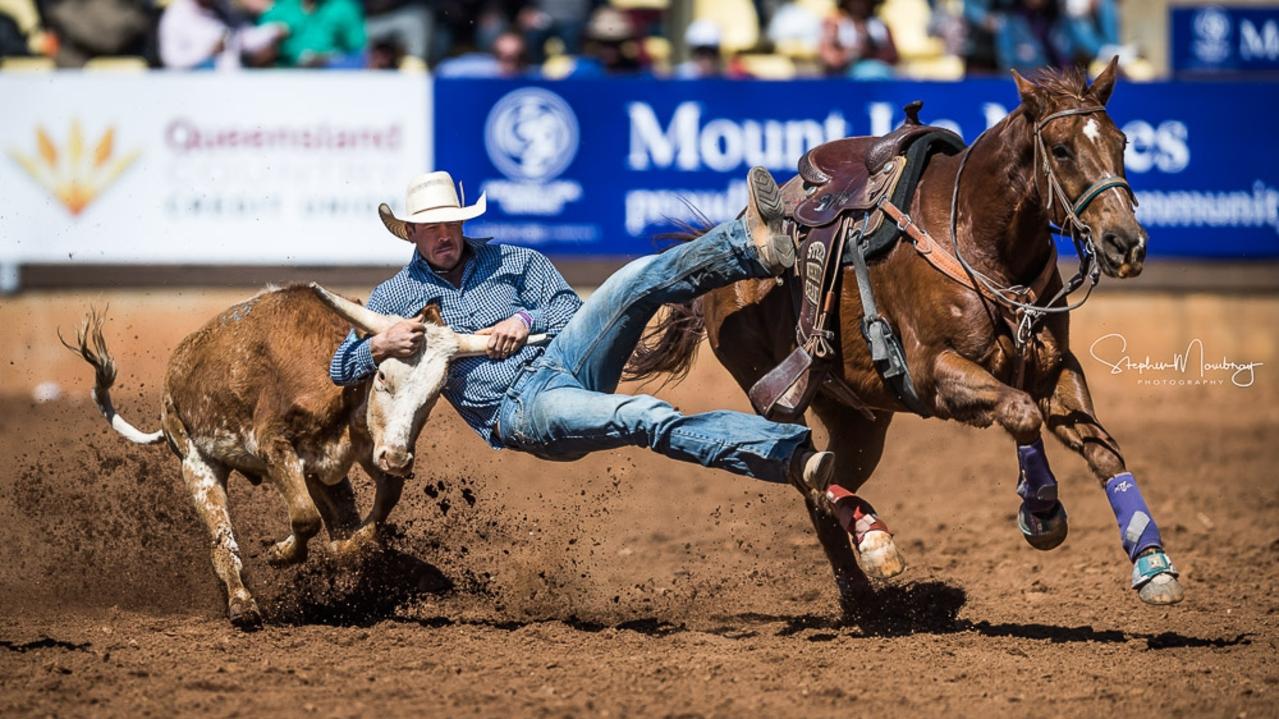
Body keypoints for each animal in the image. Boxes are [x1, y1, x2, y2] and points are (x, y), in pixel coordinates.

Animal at [624, 61, 1181, 608]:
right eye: (1061, 149)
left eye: (1122, 142)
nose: (1125, 243)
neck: (974, 237)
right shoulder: (935, 372)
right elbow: (1020, 412)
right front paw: (1041, 511)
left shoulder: (1054, 368)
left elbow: (1102, 448)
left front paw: (1152, 564)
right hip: (775, 387)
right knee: (800, 468)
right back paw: (873, 548)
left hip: (857, 418)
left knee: (824, 480)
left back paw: (863, 573)